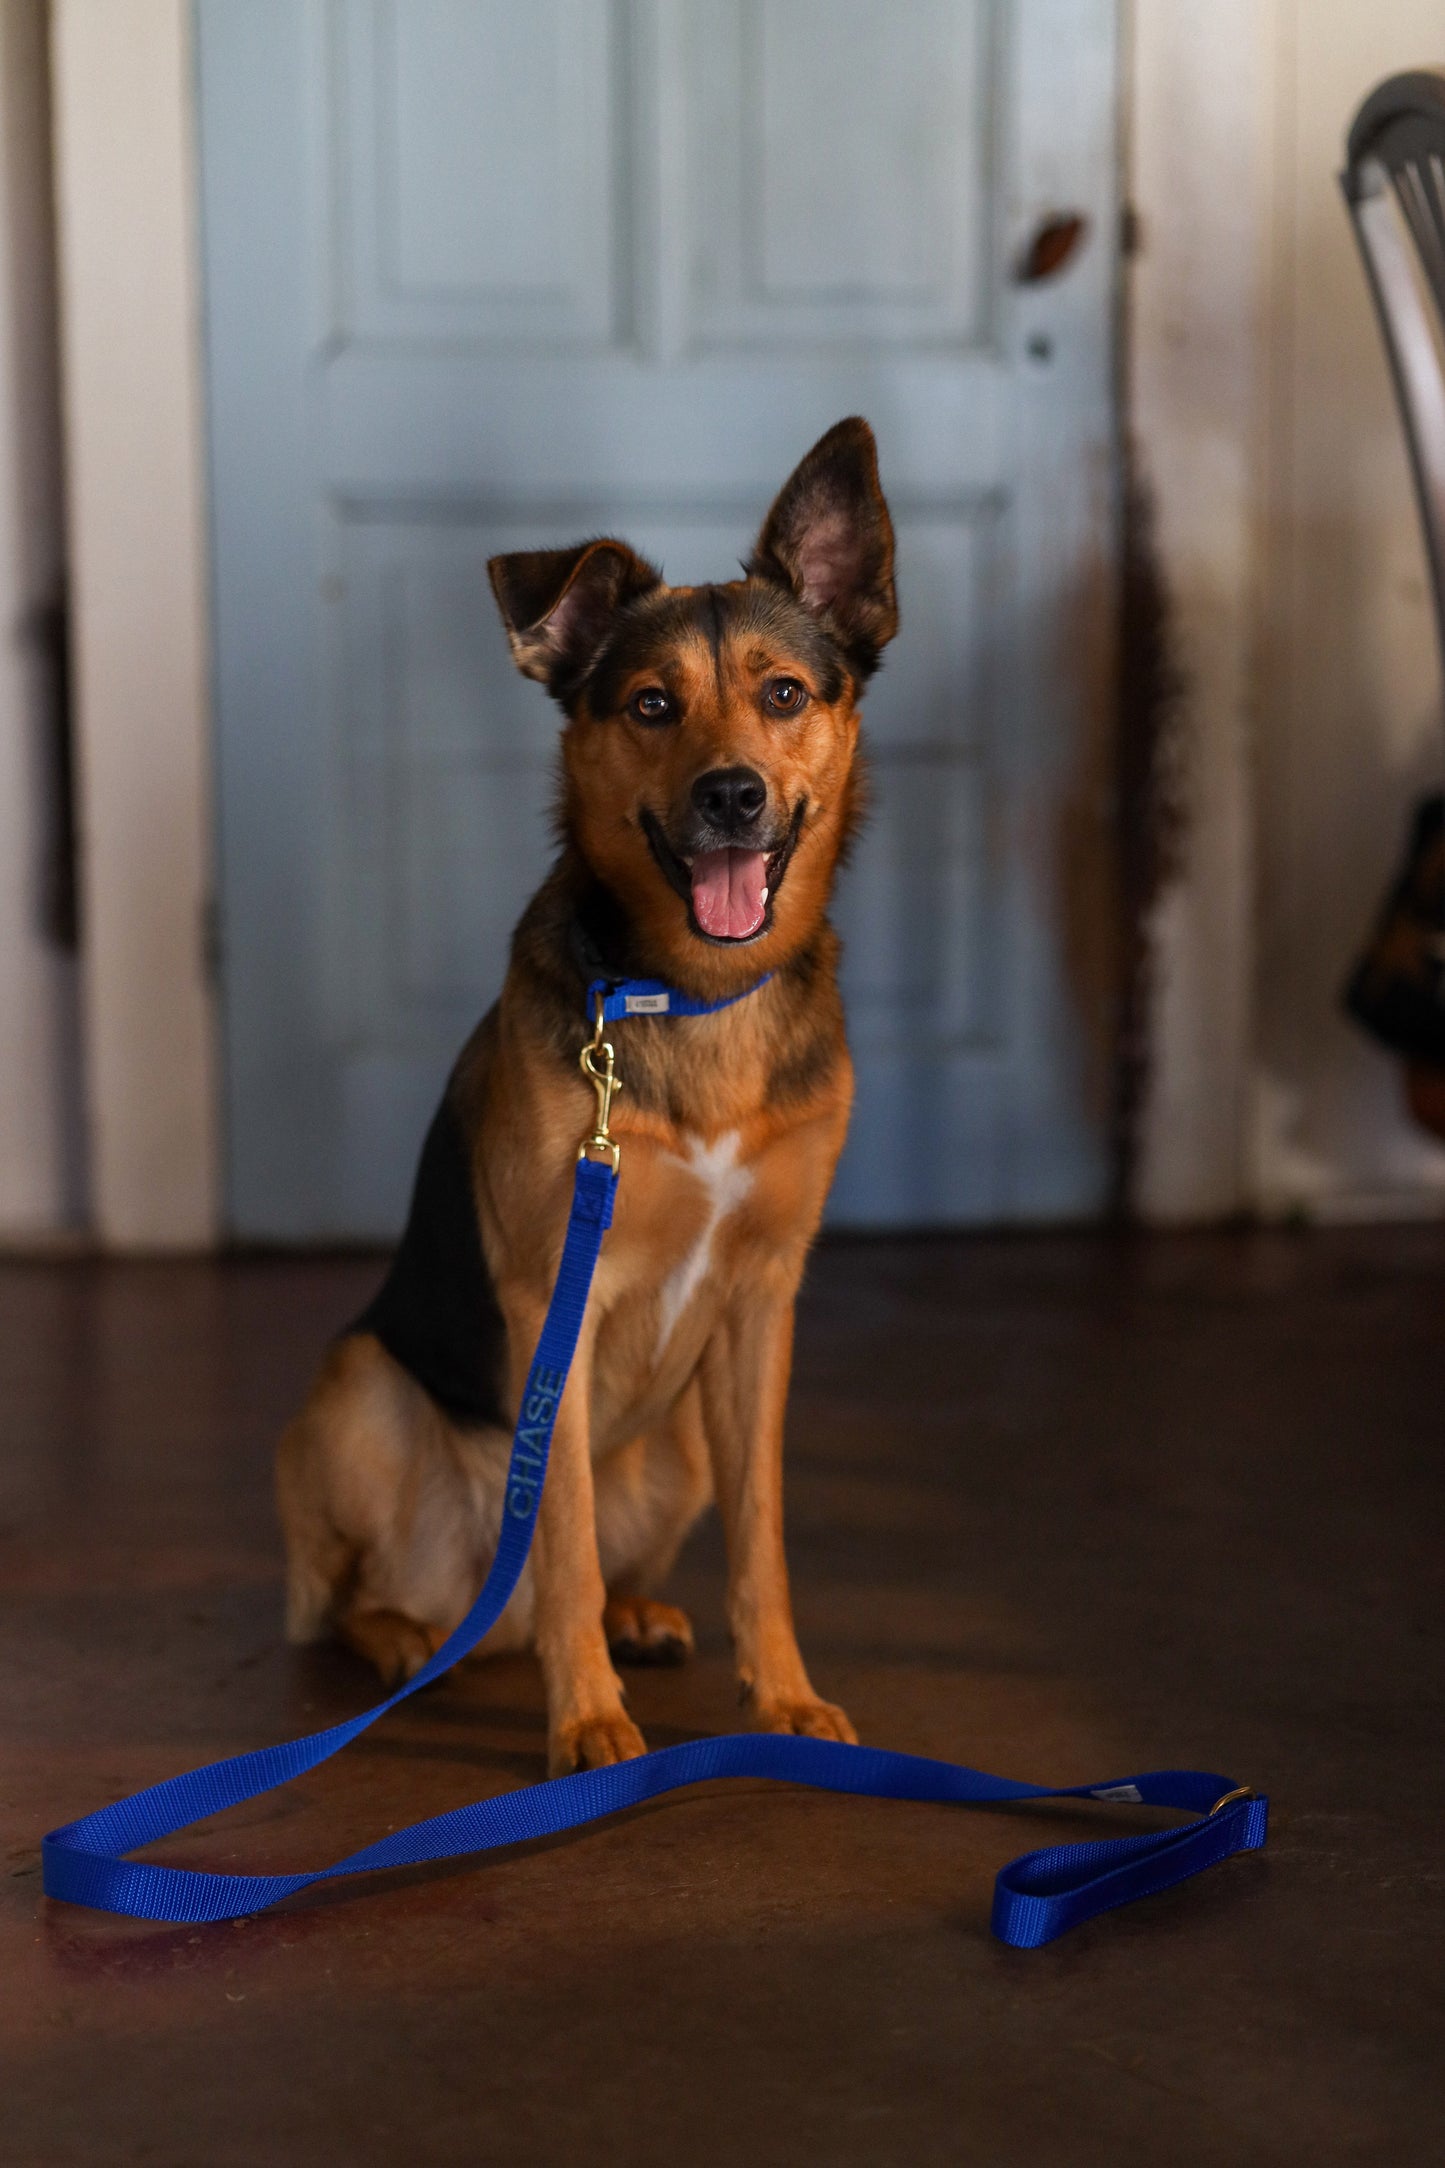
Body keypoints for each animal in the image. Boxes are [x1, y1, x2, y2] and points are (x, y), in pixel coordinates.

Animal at [277, 414, 896, 1769]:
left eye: (784, 693)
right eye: (651, 705)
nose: (730, 794)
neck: (689, 997)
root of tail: (478, 1613)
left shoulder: (762, 1304)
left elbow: (763, 1537)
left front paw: (780, 1695)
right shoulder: (550, 1297)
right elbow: (554, 1534)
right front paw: (589, 1726)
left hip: (677, 1445)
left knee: (609, 1556)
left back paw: (636, 1613)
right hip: (357, 1391)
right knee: (355, 1593)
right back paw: (406, 1638)